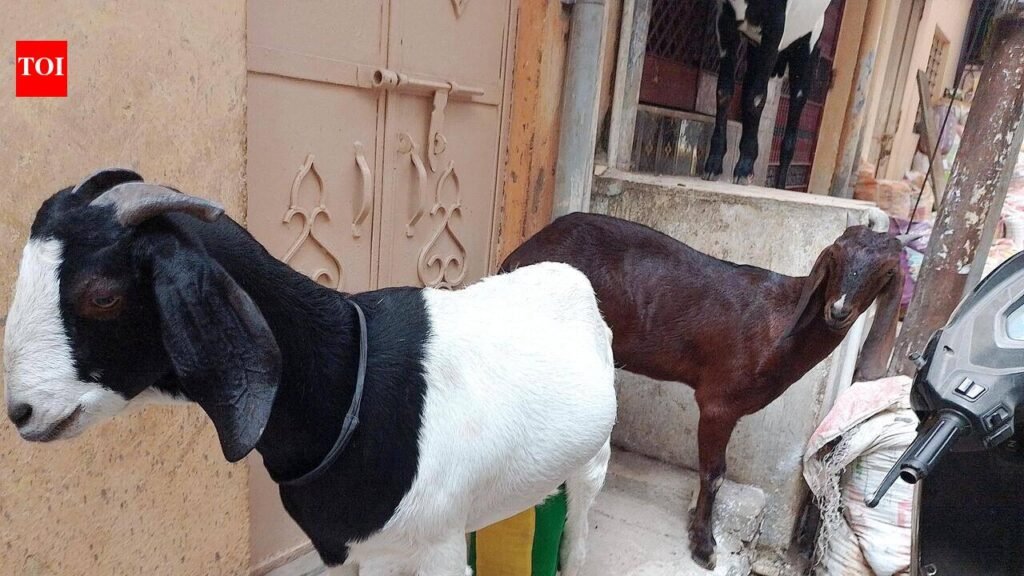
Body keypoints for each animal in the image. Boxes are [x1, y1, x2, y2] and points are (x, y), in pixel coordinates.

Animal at [2, 169, 618, 576]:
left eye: (102, 295)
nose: (20, 411)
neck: (349, 385)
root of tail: (565, 273)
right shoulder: (372, 550)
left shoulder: (435, 549)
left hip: (595, 458)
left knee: (580, 527)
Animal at [500, 212, 904, 569]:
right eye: (836, 260)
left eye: (885, 273)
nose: (838, 310)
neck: (779, 324)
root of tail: (517, 256)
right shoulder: (718, 403)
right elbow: (714, 472)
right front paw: (703, 544)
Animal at [703, 0, 832, 187]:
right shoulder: (725, 20)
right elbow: (724, 92)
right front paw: (713, 165)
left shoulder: (775, 27)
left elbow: (756, 98)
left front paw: (745, 168)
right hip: (755, 52)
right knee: (747, 87)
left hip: (806, 48)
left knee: (795, 109)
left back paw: (779, 185)